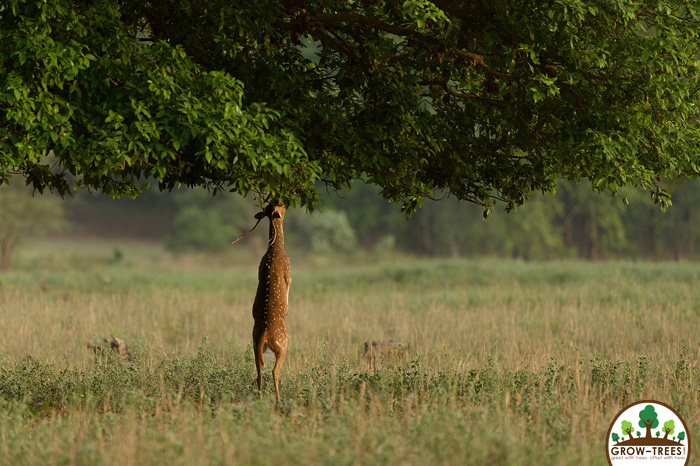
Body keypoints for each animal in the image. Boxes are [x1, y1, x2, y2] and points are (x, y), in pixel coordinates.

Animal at [234, 202, 292, 402]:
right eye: (280, 205)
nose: (285, 202)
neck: (275, 250)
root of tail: (265, 334)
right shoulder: (288, 271)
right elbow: (289, 284)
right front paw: (287, 309)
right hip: (283, 345)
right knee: (274, 371)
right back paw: (278, 399)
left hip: (254, 344)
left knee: (258, 372)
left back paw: (259, 396)